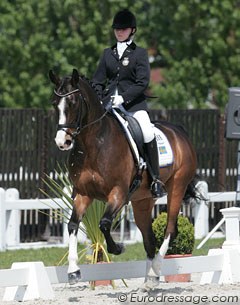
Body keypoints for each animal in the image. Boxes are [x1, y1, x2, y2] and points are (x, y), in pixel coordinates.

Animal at [48, 67, 197, 286]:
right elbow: (73, 224)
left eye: (73, 102)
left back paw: (155, 270)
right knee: (149, 238)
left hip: (177, 187)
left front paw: (118, 248)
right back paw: (149, 281)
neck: (94, 143)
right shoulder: (84, 193)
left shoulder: (118, 193)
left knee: (169, 229)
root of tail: (179, 132)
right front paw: (74, 271)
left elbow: (104, 223)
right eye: (54, 104)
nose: (62, 141)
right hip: (142, 200)